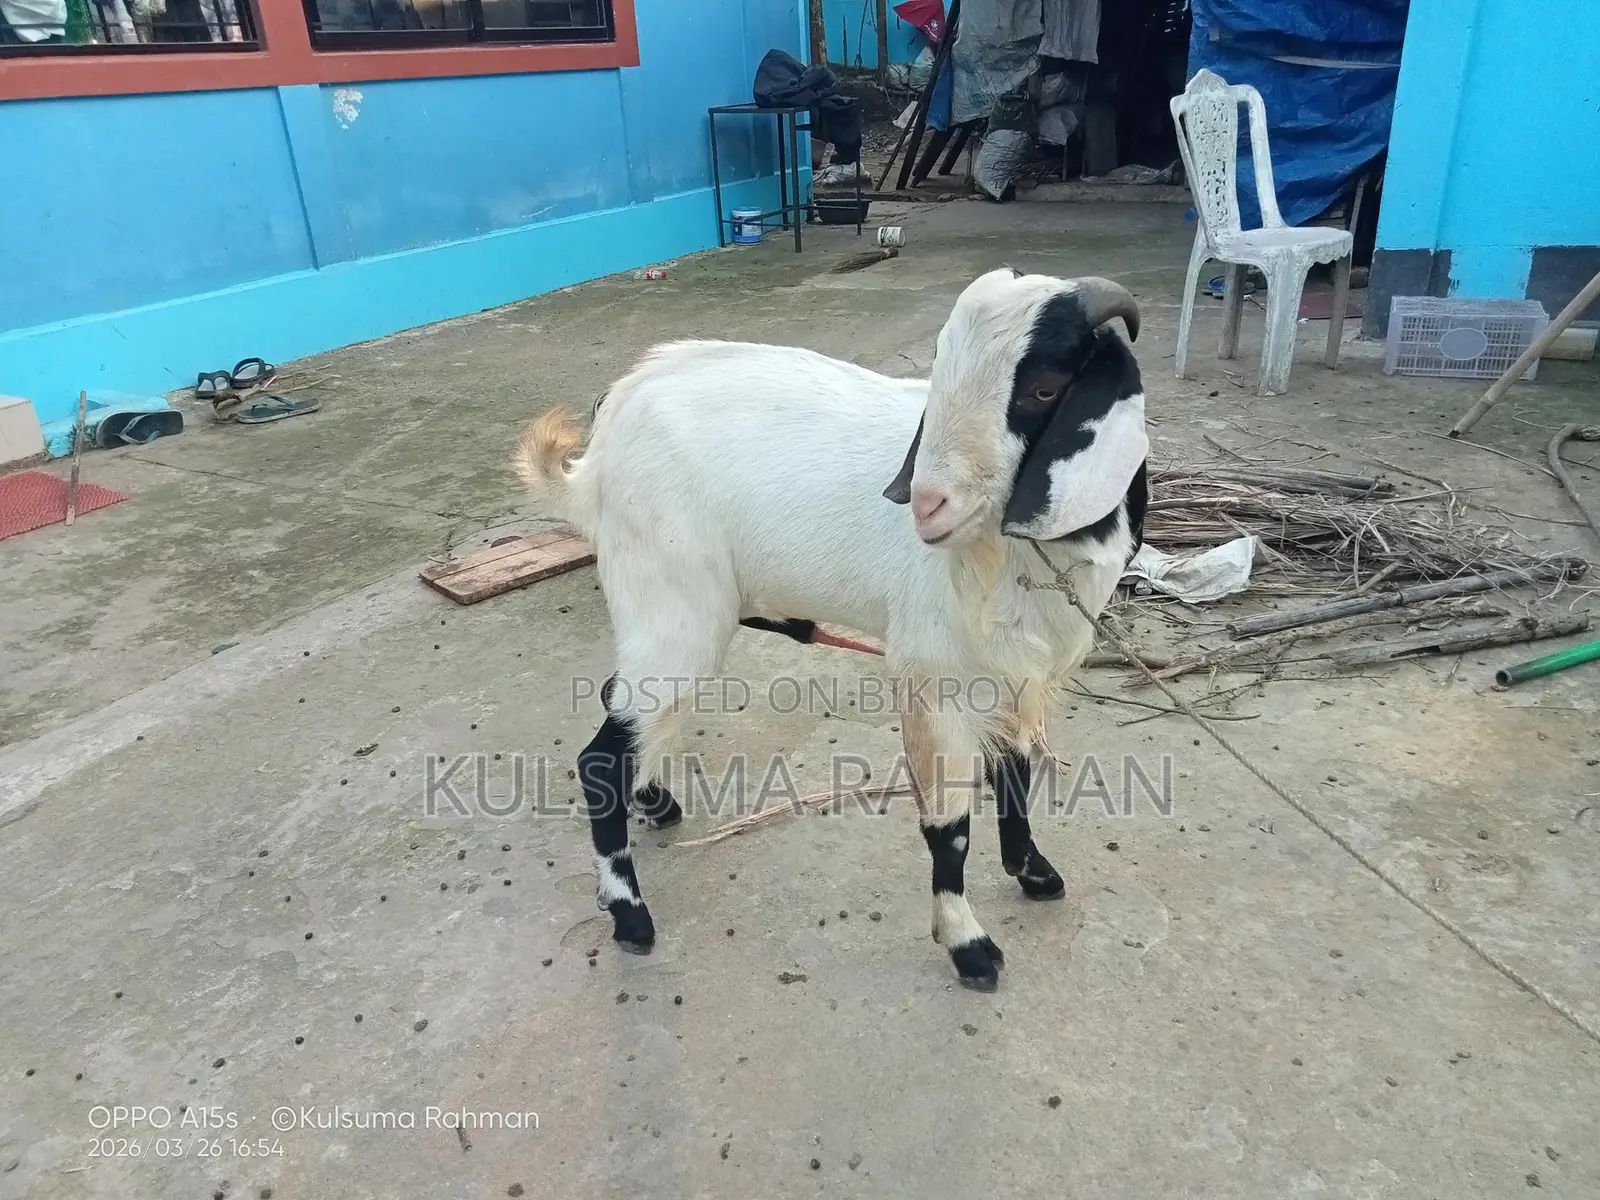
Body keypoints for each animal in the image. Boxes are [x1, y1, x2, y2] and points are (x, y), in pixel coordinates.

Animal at [515, 268, 1147, 990]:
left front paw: (1032, 870)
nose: (926, 504)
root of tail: (597, 455)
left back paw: (653, 799)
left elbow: (1013, 775)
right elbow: (950, 826)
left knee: (627, 711)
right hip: (672, 604)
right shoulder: (933, 675)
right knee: (601, 754)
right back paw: (629, 916)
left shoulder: (1017, 671)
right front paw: (967, 944)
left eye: (1044, 387)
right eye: (941, 375)